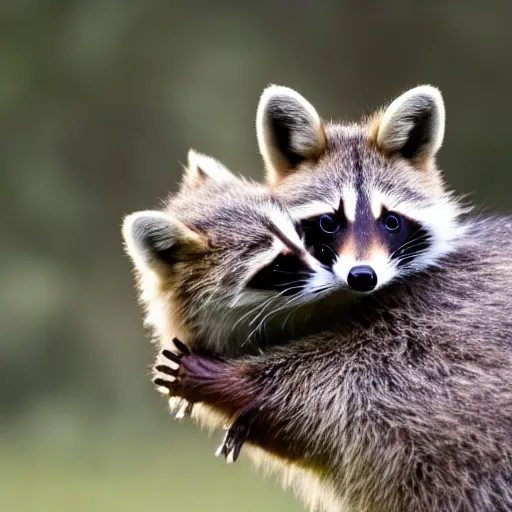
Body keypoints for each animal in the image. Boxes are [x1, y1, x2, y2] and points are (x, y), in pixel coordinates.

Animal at [155, 86, 512, 510]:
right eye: (328, 222)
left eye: (391, 221)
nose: (362, 276)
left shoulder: (429, 332)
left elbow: (347, 386)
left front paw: (236, 383)